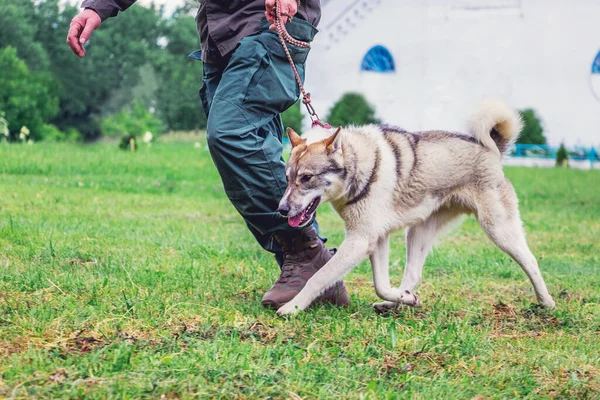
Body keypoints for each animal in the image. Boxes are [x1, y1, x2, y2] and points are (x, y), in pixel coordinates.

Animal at [276, 100, 556, 316]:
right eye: (287, 178)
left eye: (307, 178)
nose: (281, 209)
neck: (364, 164)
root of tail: (491, 149)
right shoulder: (377, 239)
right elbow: (381, 284)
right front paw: (405, 298)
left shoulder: (360, 240)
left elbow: (319, 277)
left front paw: (292, 307)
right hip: (418, 233)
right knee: (412, 276)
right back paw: (397, 302)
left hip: (498, 229)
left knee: (530, 260)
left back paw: (547, 303)